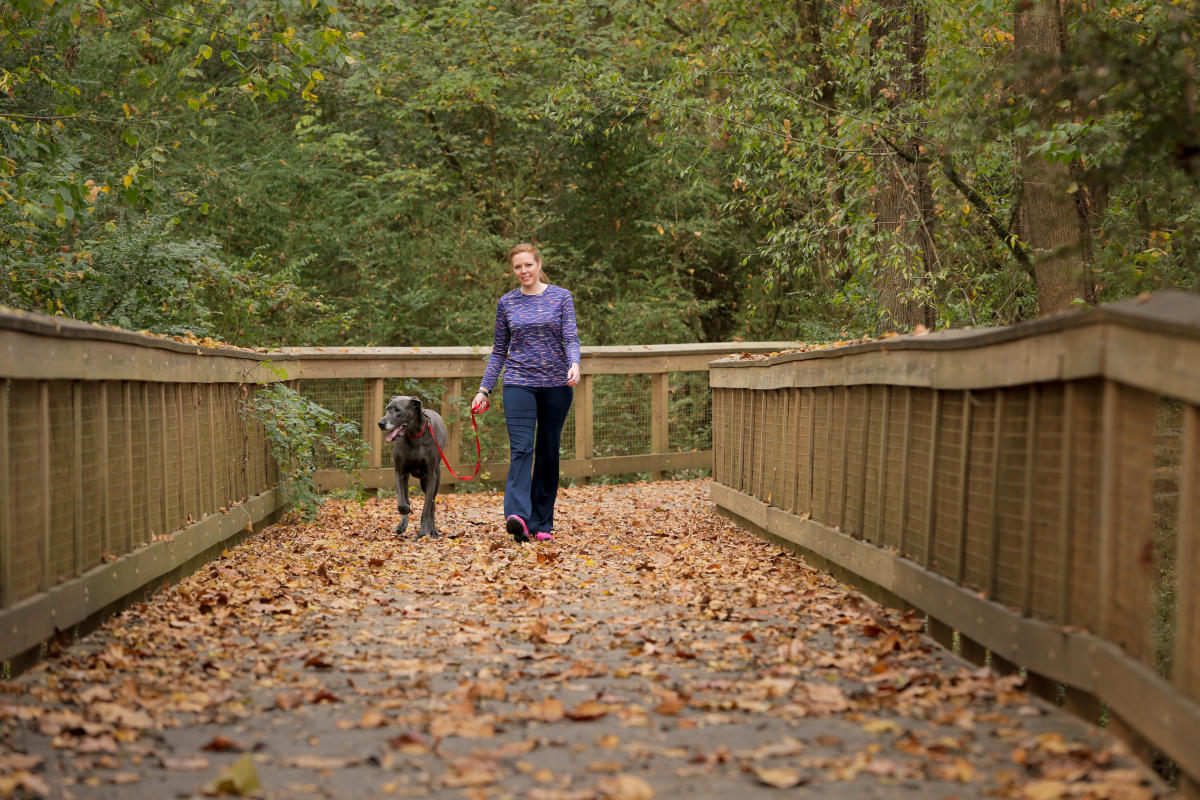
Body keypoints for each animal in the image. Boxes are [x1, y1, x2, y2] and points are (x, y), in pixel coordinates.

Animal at [376, 395, 448, 537]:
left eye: (398, 410)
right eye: (387, 409)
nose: (380, 424)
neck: (415, 437)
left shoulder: (431, 476)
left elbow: (426, 508)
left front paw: (423, 531)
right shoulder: (400, 472)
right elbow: (403, 501)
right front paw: (405, 512)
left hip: (435, 478)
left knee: (431, 504)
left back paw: (432, 530)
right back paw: (403, 524)